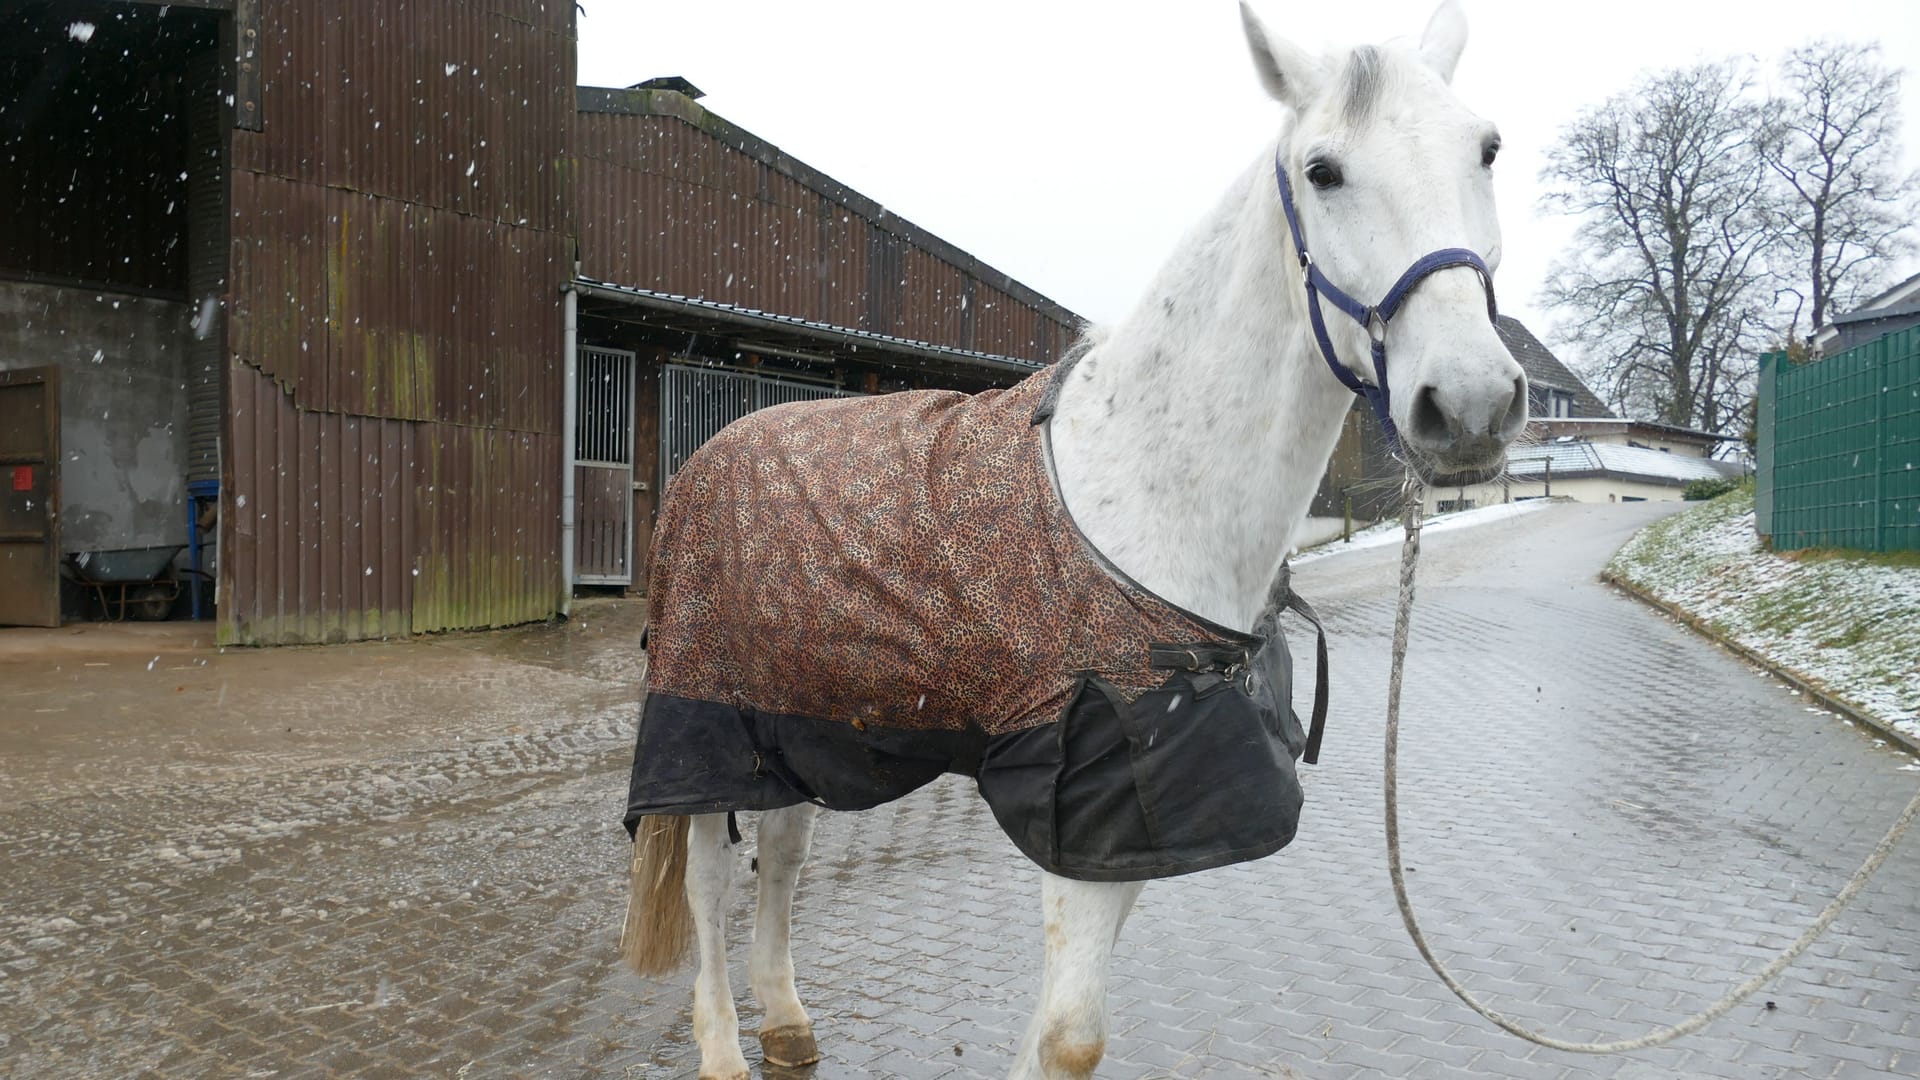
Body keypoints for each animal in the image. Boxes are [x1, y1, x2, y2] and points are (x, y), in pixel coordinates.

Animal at [622, 4, 1520, 1068]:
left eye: (1486, 149)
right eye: (1323, 170)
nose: (1469, 403)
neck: (1143, 495)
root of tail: (709, 452)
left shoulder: (1128, 825)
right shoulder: (1084, 798)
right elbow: (1072, 1037)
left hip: (800, 716)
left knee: (785, 854)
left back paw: (788, 1021)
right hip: (708, 728)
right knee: (710, 881)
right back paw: (723, 1049)